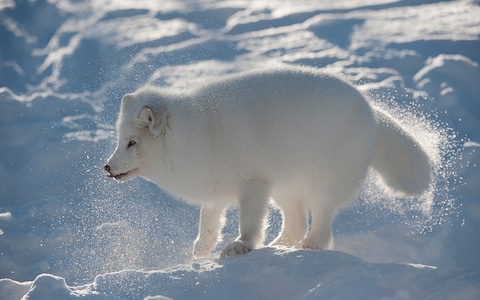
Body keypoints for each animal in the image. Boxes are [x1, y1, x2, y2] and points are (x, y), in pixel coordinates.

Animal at [104, 65, 432, 258]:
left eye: (132, 143)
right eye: (120, 141)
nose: (106, 167)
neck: (199, 133)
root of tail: (367, 103)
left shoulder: (252, 185)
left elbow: (248, 222)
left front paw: (242, 245)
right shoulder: (217, 185)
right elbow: (209, 218)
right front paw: (203, 248)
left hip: (320, 184)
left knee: (322, 219)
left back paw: (310, 245)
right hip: (284, 188)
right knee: (297, 222)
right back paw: (281, 247)